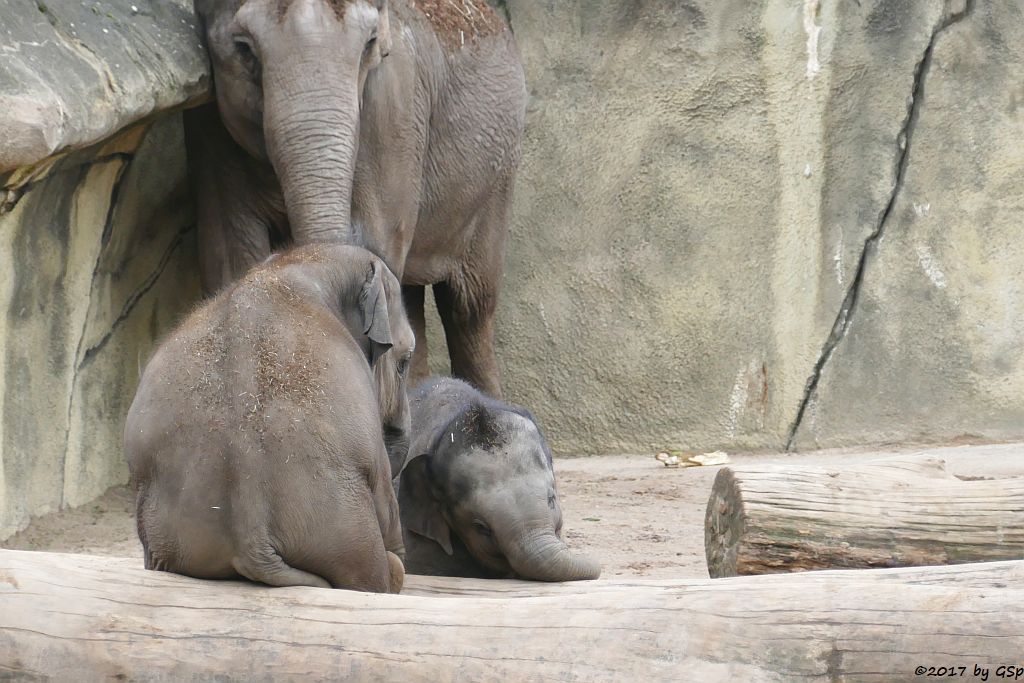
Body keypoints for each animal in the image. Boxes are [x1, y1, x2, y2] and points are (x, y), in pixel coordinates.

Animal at [125, 244, 413, 593]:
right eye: (405, 362)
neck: (296, 263)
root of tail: (254, 545)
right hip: (349, 527)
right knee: (382, 571)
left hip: (166, 535)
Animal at [189, 0, 528, 397]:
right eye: (244, 49)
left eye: (369, 45)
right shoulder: (211, 133)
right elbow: (229, 256)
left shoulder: (393, 115)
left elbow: (373, 242)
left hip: (496, 184)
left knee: (468, 307)